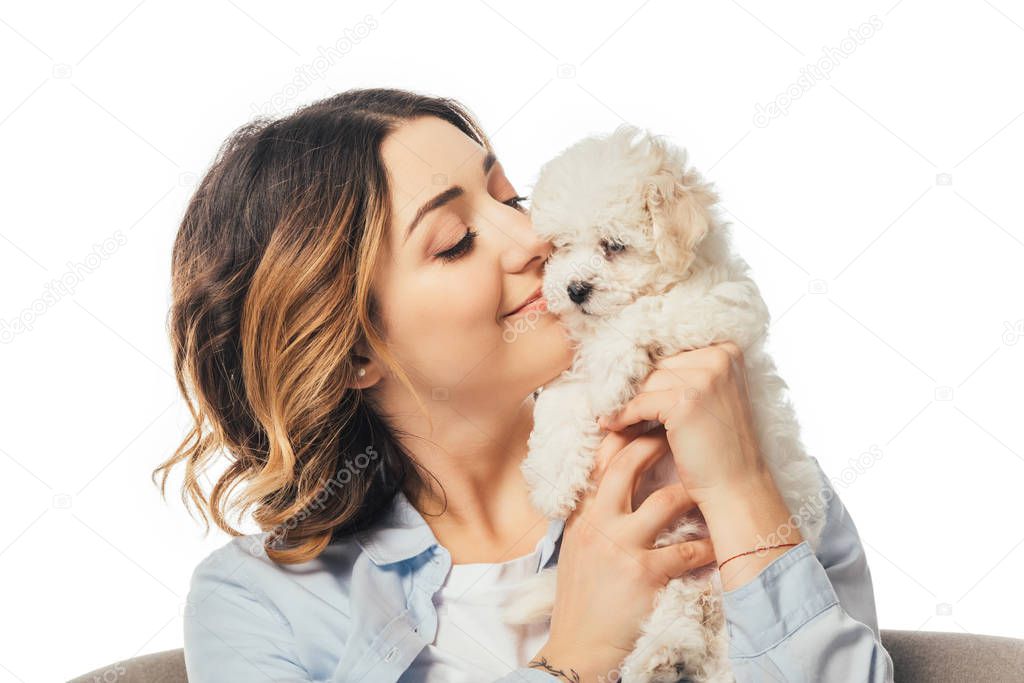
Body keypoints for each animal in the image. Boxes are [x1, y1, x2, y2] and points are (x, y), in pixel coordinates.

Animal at [501, 125, 831, 679]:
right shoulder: (570, 363)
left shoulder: (721, 307)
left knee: (706, 629)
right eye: (560, 247)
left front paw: (612, 372)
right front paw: (553, 478)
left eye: (613, 246)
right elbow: (561, 403)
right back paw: (659, 657)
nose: (574, 289)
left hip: (716, 567)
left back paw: (658, 656)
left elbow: (646, 313)